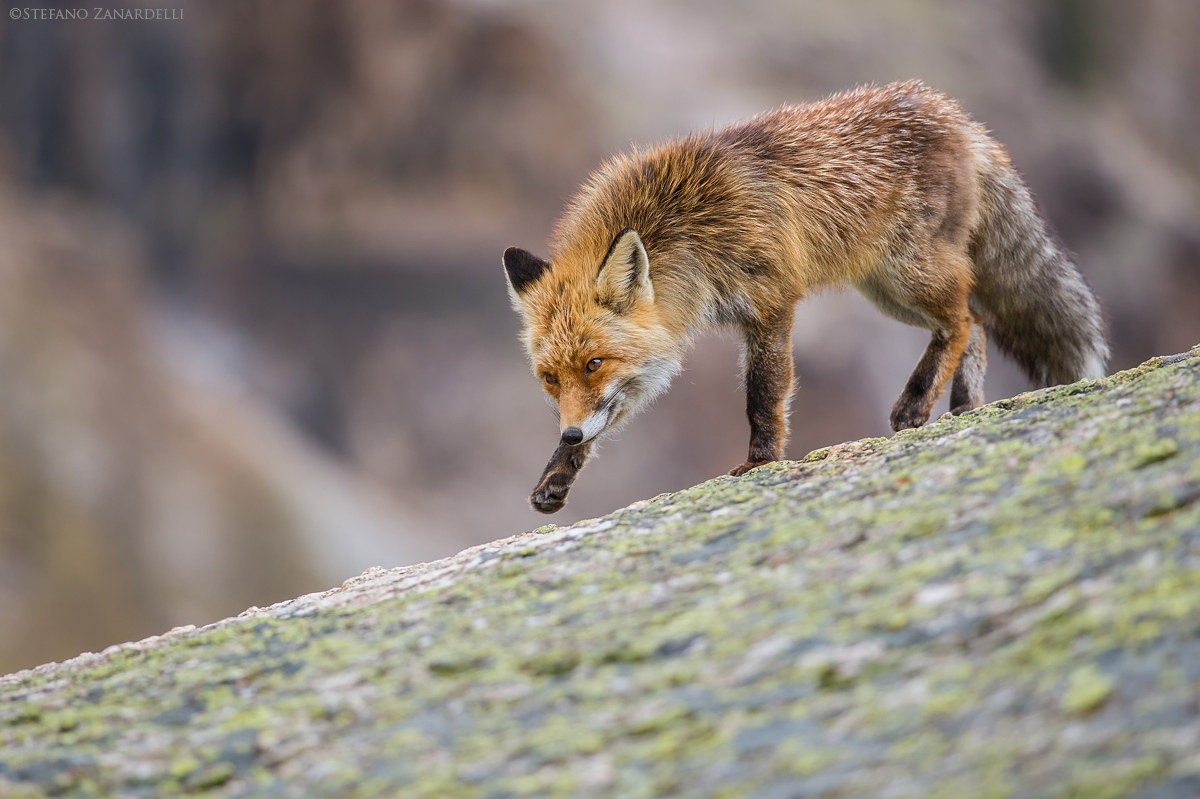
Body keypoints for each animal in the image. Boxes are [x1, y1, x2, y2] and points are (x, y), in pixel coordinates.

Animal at [503, 81, 1108, 514]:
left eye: (594, 363)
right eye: (550, 378)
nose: (569, 428)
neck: (689, 230)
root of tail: (953, 113)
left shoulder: (769, 303)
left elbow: (763, 395)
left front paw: (760, 463)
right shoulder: (658, 348)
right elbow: (610, 416)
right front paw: (558, 472)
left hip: (911, 274)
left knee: (961, 320)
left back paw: (917, 402)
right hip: (889, 292)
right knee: (976, 321)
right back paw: (965, 406)